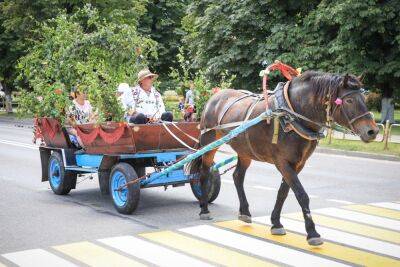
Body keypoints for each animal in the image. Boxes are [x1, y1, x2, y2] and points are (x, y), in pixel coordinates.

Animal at [191, 71, 378, 247]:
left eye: (364, 97)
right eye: (349, 100)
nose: (373, 131)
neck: (291, 114)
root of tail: (215, 96)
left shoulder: (298, 164)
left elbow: (283, 192)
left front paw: (276, 223)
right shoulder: (283, 163)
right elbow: (301, 194)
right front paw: (312, 233)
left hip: (245, 151)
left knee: (237, 177)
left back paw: (244, 212)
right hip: (209, 143)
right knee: (204, 173)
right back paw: (204, 209)